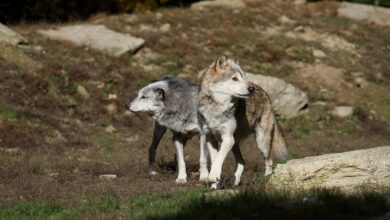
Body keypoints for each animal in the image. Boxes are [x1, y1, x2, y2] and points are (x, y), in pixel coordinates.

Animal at [200, 55, 288, 187]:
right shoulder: (211, 138)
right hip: (235, 144)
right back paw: (235, 183)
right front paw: (214, 183)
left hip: (261, 142)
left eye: (243, 77)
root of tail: (263, 91)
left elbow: (219, 158)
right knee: (242, 162)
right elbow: (216, 160)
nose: (251, 89)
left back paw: (266, 179)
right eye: (234, 78)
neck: (217, 108)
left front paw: (213, 177)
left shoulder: (228, 138)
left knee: (269, 161)